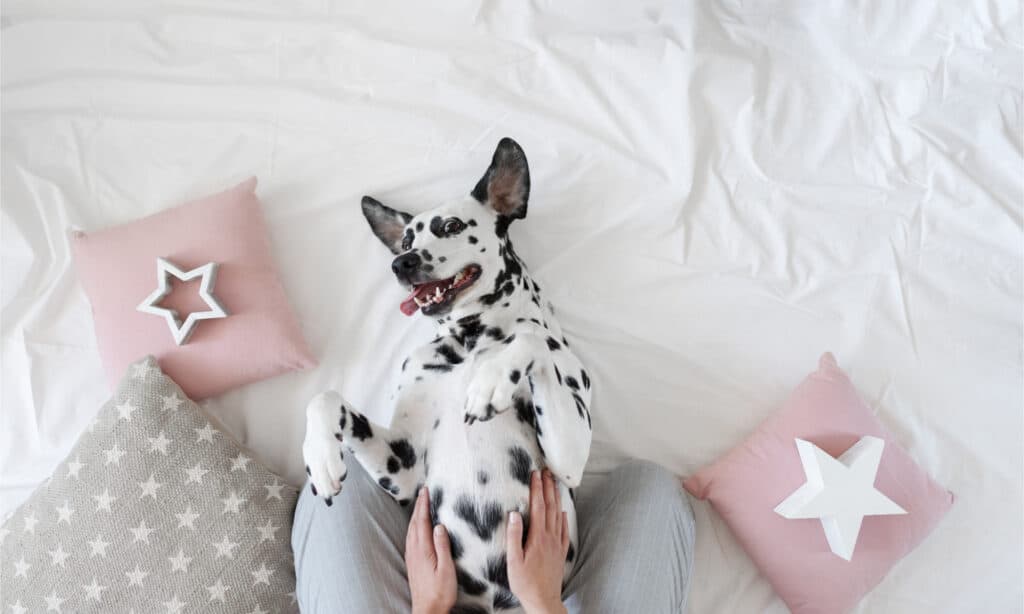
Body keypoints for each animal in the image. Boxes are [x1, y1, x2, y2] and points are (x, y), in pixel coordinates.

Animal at [301, 139, 593, 614]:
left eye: (452, 226)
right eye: (405, 238)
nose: (402, 263)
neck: (470, 341)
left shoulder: (570, 459)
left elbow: (530, 338)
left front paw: (493, 380)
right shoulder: (403, 468)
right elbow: (325, 398)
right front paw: (320, 457)